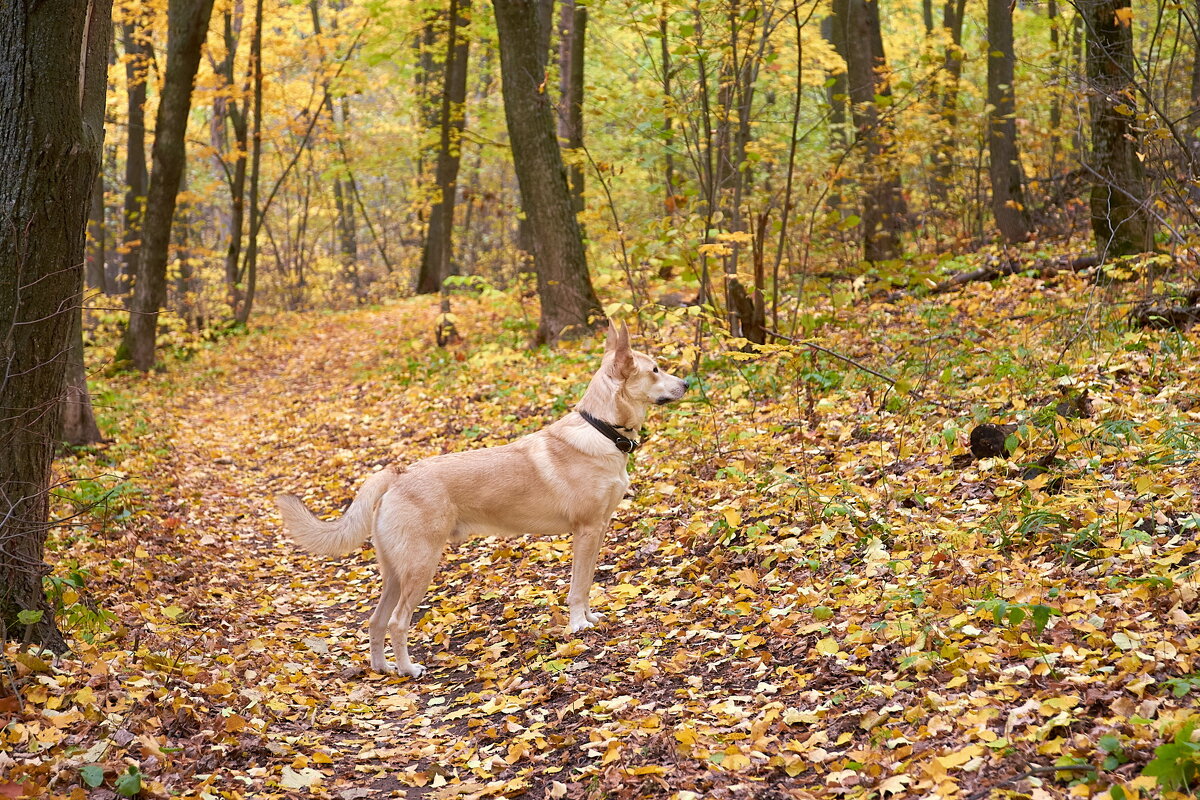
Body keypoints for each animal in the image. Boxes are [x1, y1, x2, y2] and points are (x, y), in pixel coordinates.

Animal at [274, 321, 686, 681]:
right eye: (655, 369)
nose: (685, 383)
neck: (602, 430)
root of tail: (397, 474)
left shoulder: (597, 530)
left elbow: (584, 586)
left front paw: (589, 618)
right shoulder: (585, 531)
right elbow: (578, 587)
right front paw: (578, 626)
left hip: (395, 570)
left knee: (375, 621)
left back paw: (383, 669)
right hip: (420, 566)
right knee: (396, 622)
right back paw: (408, 669)